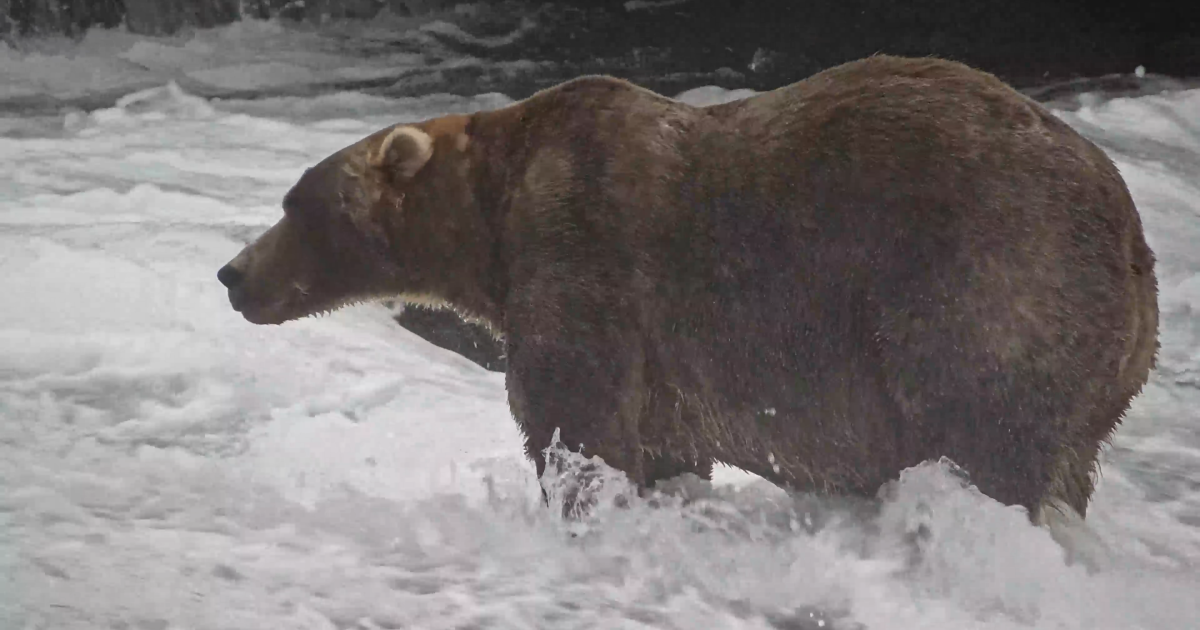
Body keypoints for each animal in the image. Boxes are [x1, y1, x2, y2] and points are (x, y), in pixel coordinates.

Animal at [217, 55, 1158, 523]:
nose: (232, 274)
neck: (490, 219)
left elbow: (575, 416)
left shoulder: (584, 251)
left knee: (984, 431)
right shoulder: (665, 361)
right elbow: (663, 443)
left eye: (295, 204)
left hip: (986, 281)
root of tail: (1131, 233)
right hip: (1103, 368)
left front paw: (580, 504)